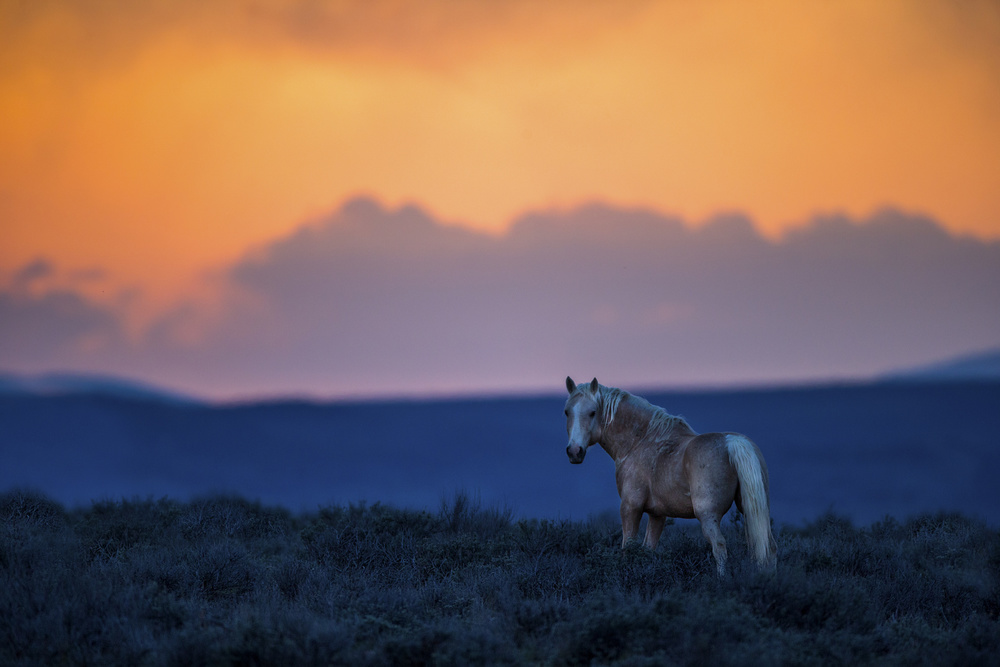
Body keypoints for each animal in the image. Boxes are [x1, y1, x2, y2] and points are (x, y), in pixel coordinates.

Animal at [564, 376, 772, 576]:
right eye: (567, 412)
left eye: (592, 412)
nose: (574, 451)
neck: (640, 442)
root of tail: (732, 442)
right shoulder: (657, 515)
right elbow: (648, 549)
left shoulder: (630, 507)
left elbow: (627, 548)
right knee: (770, 546)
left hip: (708, 516)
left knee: (719, 547)